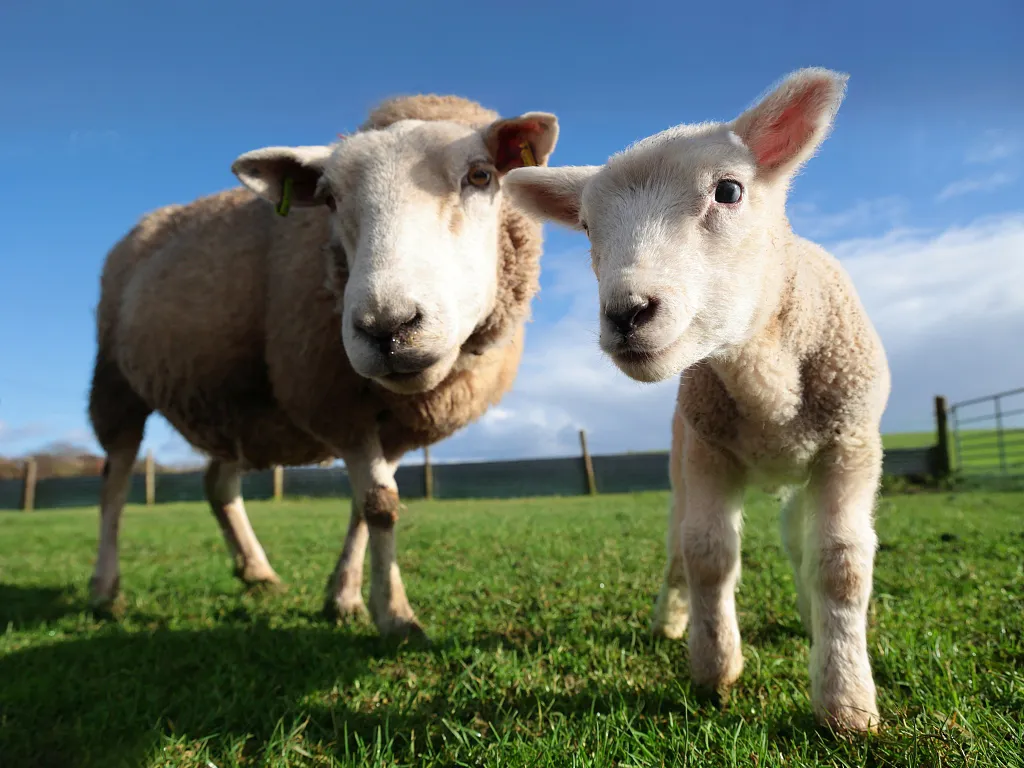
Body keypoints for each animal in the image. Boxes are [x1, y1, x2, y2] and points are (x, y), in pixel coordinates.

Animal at [87, 94, 560, 640]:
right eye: (329, 199)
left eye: (481, 175)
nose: (388, 328)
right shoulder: (337, 404)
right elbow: (380, 506)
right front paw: (395, 616)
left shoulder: (390, 425)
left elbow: (366, 504)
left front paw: (345, 596)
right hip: (116, 382)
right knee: (114, 482)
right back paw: (105, 589)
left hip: (237, 403)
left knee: (217, 483)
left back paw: (257, 572)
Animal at [503, 69, 890, 732]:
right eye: (587, 227)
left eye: (729, 191)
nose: (627, 313)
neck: (765, 380)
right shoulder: (708, 451)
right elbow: (707, 553)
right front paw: (714, 668)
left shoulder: (851, 447)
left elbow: (840, 565)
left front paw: (846, 701)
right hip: (681, 458)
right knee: (678, 546)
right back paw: (671, 619)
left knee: (798, 541)